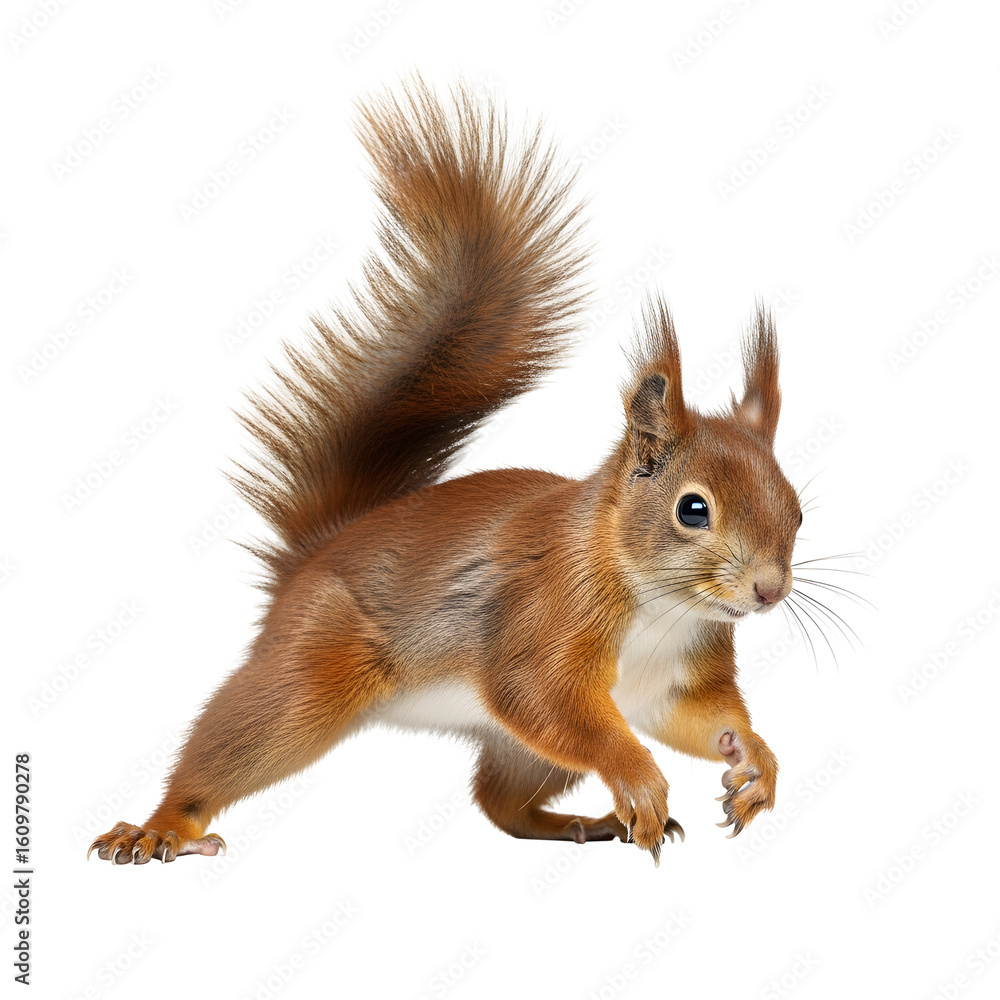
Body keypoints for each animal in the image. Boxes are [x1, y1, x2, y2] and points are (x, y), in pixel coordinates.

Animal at [88, 79, 802, 867]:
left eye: (797, 509)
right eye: (693, 509)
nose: (769, 590)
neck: (659, 602)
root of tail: (318, 553)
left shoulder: (676, 681)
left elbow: (703, 720)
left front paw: (754, 760)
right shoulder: (542, 621)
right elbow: (546, 702)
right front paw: (638, 779)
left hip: (519, 753)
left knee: (500, 803)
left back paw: (580, 823)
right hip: (311, 673)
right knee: (236, 742)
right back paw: (162, 827)